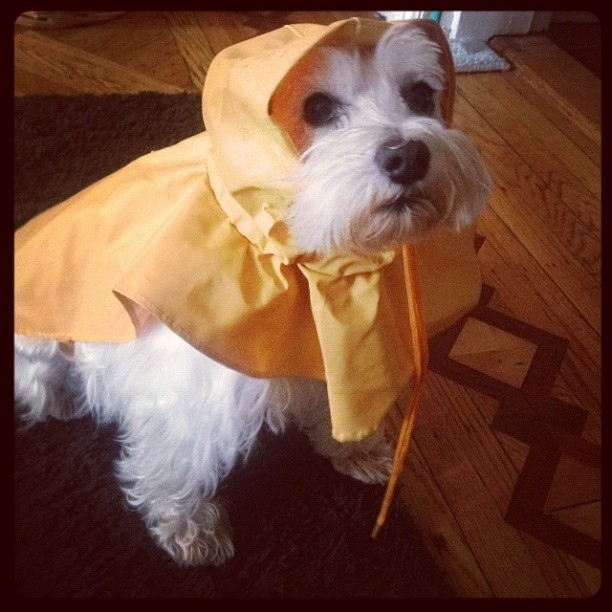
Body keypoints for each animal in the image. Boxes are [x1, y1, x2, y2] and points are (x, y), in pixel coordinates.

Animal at [13, 23, 492, 568]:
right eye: (317, 109)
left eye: (420, 94)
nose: (408, 156)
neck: (319, 270)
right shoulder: (190, 389)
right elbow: (176, 460)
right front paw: (189, 528)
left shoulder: (336, 351)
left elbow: (340, 406)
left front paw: (357, 450)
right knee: (35, 376)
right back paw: (61, 396)